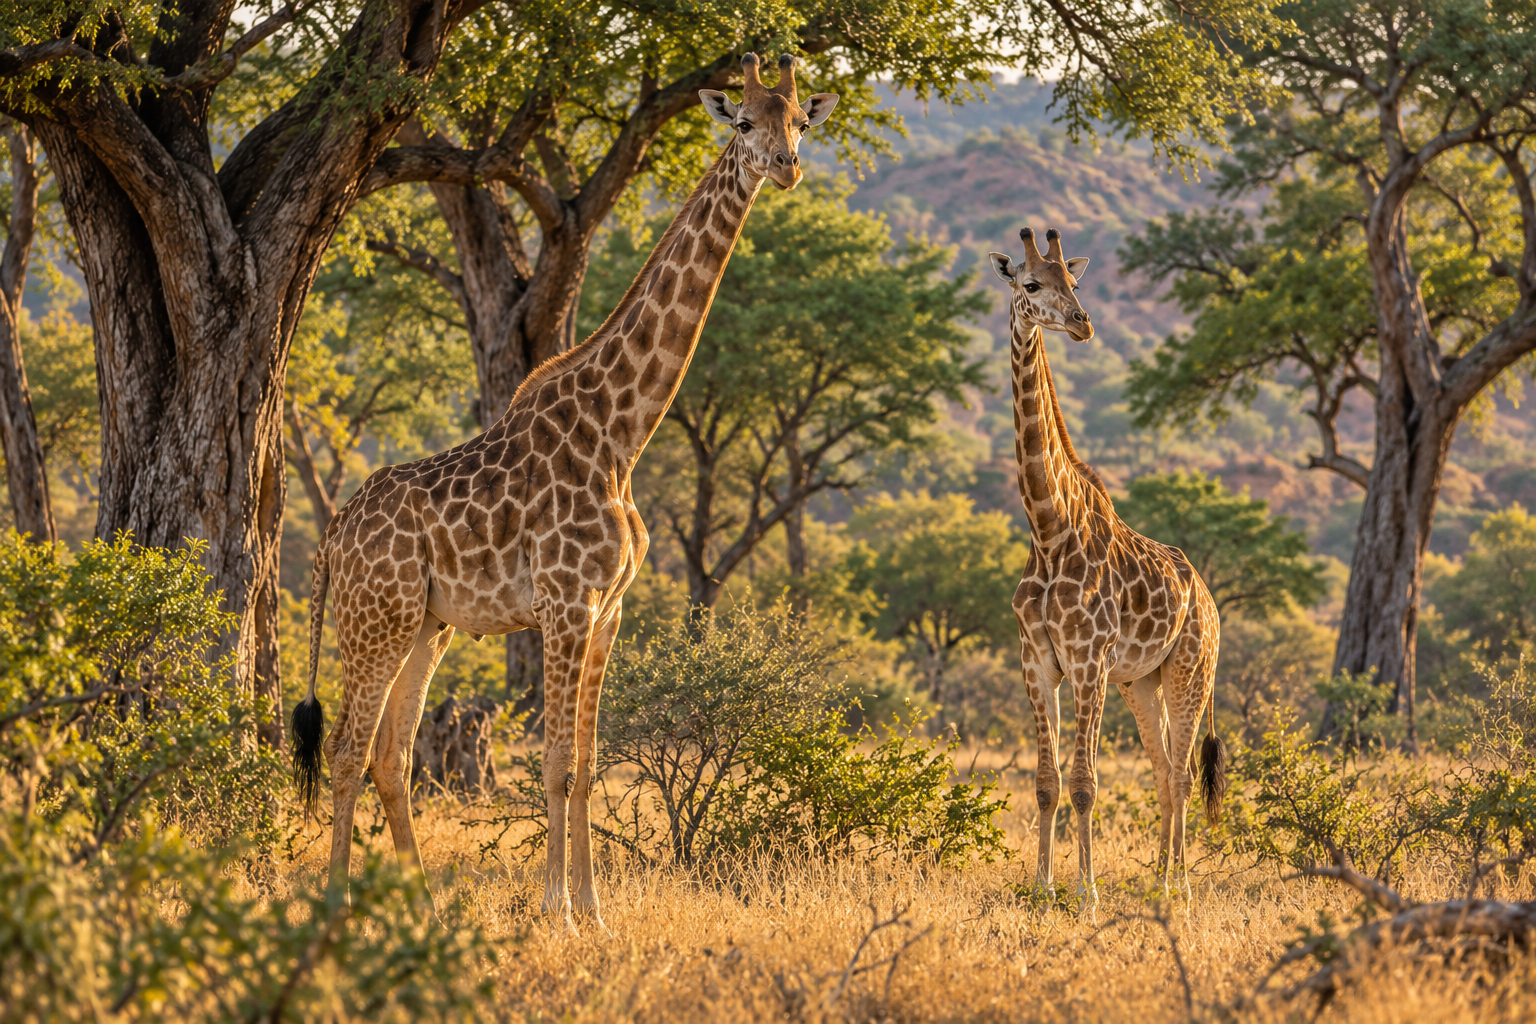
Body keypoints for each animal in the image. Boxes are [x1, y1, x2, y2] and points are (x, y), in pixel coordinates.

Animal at [290, 53, 837, 934]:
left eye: (799, 122)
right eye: (745, 121)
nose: (785, 167)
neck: (621, 433)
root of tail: (333, 536)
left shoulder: (607, 608)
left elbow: (585, 761)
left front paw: (595, 910)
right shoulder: (563, 602)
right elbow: (552, 764)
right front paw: (560, 912)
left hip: (428, 627)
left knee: (391, 754)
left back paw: (423, 910)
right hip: (375, 619)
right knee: (346, 749)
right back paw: (339, 908)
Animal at [988, 227, 1227, 907]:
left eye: (1074, 280)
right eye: (1031, 283)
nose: (1082, 323)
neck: (1047, 528)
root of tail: (1207, 598)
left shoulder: (1088, 660)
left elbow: (1085, 783)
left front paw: (1087, 891)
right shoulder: (1037, 661)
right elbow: (1045, 783)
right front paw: (1043, 887)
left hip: (1191, 669)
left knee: (1181, 771)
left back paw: (1180, 885)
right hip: (1141, 682)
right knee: (1163, 772)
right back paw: (1161, 880)